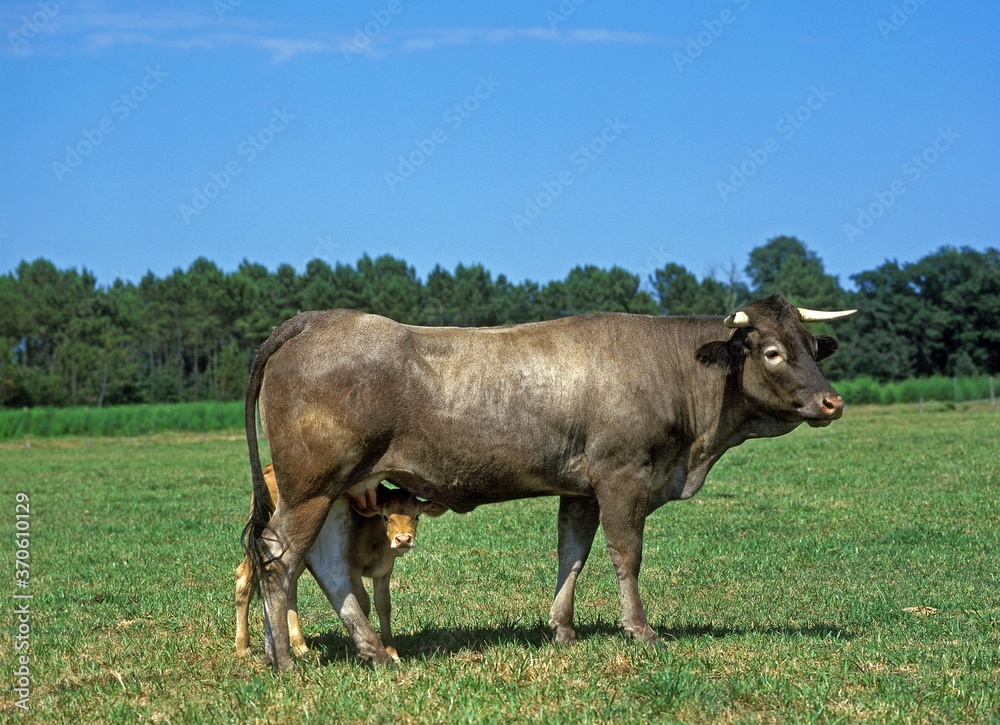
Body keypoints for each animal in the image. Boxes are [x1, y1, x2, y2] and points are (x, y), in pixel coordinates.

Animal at [236, 464, 444, 660]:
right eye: (386, 517)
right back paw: (243, 647)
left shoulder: (384, 570)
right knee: (244, 577)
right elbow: (363, 601)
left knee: (288, 585)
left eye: (416, 516)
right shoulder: (351, 568)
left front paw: (392, 653)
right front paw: (364, 647)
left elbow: (383, 604)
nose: (403, 539)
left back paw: (300, 646)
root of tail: (269, 469)